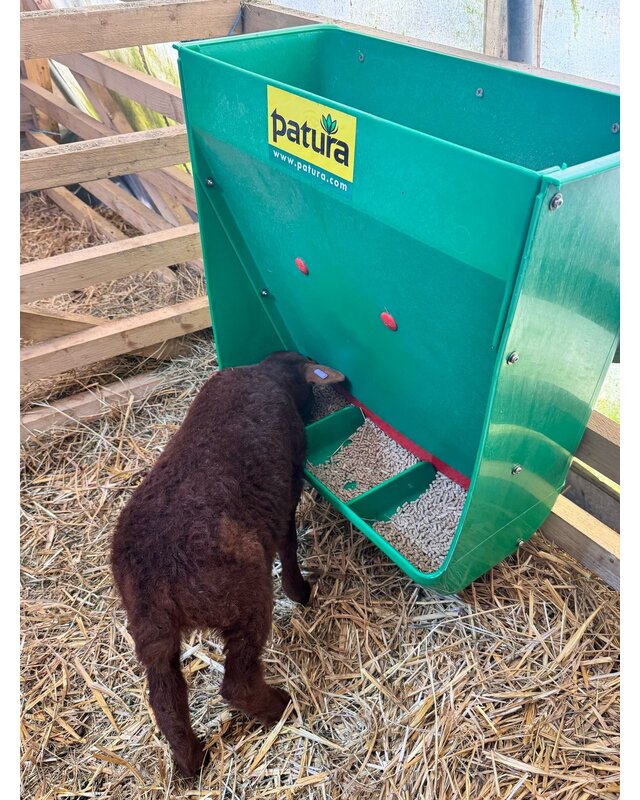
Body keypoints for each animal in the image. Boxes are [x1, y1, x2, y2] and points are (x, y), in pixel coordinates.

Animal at [111, 351, 345, 776]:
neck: (269, 373)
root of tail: (154, 577)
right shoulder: (288, 485)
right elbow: (288, 541)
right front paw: (299, 591)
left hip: (150, 631)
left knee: (164, 697)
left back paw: (190, 760)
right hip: (242, 596)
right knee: (237, 682)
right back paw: (278, 706)